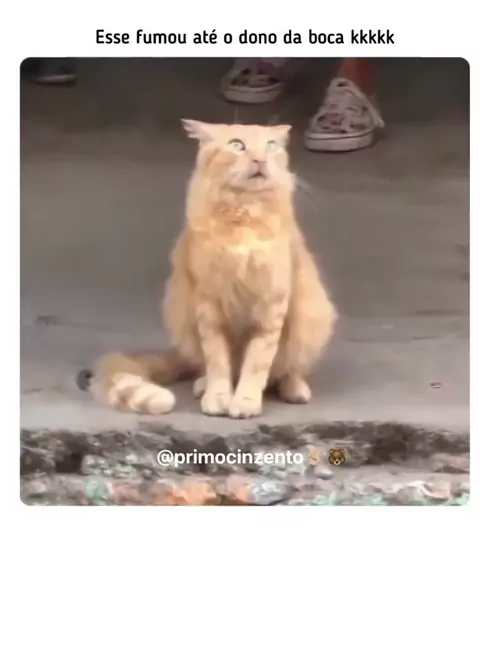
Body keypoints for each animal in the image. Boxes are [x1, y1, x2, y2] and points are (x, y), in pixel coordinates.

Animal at [79, 120, 337, 419]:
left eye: (270, 146)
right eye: (237, 145)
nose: (260, 159)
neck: (243, 217)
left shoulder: (271, 305)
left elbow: (257, 363)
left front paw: (245, 401)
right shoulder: (208, 306)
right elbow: (217, 363)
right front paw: (218, 397)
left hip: (311, 317)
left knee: (288, 369)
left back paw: (294, 389)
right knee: (204, 366)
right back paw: (203, 385)